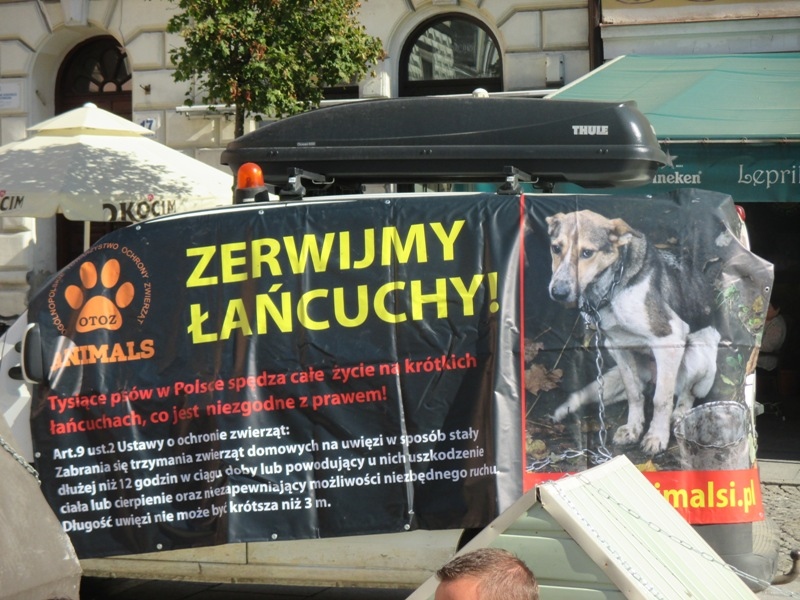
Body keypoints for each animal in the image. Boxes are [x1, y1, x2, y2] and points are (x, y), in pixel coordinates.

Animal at [546, 209, 717, 455]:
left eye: (587, 253)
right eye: (556, 248)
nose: (558, 292)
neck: (611, 290)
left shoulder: (669, 338)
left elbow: (661, 400)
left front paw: (656, 436)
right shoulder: (616, 345)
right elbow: (633, 393)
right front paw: (633, 429)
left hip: (697, 356)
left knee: (687, 393)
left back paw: (680, 414)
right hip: (617, 373)